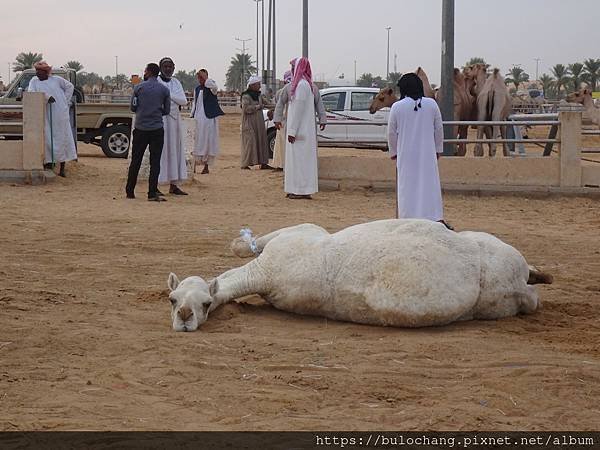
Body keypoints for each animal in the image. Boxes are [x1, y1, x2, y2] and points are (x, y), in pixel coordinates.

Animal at [166, 220, 552, 332]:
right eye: (172, 299)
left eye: (205, 302)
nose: (184, 316)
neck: (264, 276)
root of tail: (518, 282)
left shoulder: (302, 232)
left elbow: (250, 245)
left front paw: (238, 243)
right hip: (504, 298)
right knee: (531, 294)